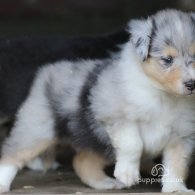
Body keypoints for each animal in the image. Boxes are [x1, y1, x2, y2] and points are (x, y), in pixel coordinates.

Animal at [0, 8, 195, 192]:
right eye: (167, 59)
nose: (191, 84)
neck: (164, 95)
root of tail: (48, 70)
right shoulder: (116, 117)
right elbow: (133, 143)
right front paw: (128, 175)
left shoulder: (182, 136)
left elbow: (177, 165)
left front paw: (176, 189)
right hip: (37, 129)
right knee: (12, 154)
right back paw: (3, 183)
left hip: (99, 143)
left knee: (81, 161)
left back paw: (105, 183)